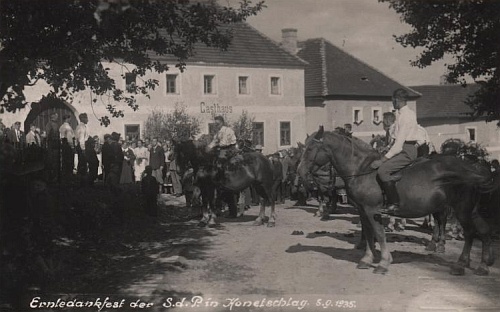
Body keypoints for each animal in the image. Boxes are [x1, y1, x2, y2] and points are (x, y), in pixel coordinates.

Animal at [298, 125, 494, 274]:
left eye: (310, 149)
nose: (301, 173)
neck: (362, 169)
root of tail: (472, 165)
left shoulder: (372, 210)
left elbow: (379, 234)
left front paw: (384, 262)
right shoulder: (362, 210)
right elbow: (368, 233)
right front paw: (367, 259)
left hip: (462, 209)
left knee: (469, 232)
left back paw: (460, 263)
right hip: (471, 210)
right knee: (484, 231)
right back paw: (483, 265)